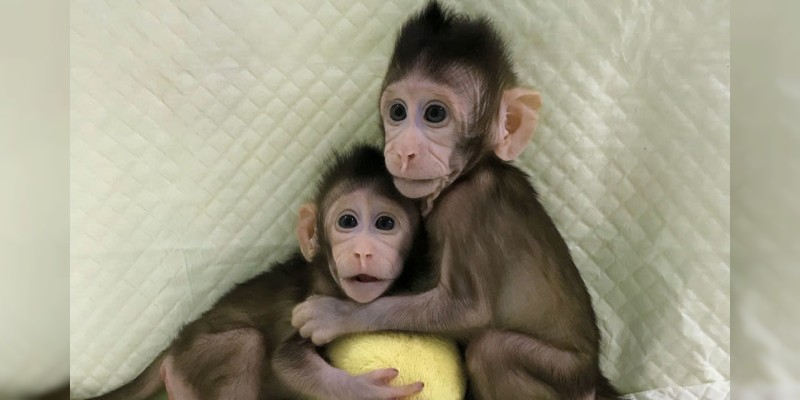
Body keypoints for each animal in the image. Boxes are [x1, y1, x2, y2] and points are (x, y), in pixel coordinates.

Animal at [89, 144, 428, 400]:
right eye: (347, 222)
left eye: (385, 224)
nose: (362, 251)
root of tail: (175, 345)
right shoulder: (309, 302)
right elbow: (287, 360)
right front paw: (366, 390)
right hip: (196, 357)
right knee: (246, 344)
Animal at [292, 2, 622, 399]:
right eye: (398, 111)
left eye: (435, 114)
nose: (402, 151)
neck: (469, 173)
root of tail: (594, 378)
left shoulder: (465, 207)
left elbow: (468, 310)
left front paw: (336, 314)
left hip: (564, 375)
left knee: (492, 349)